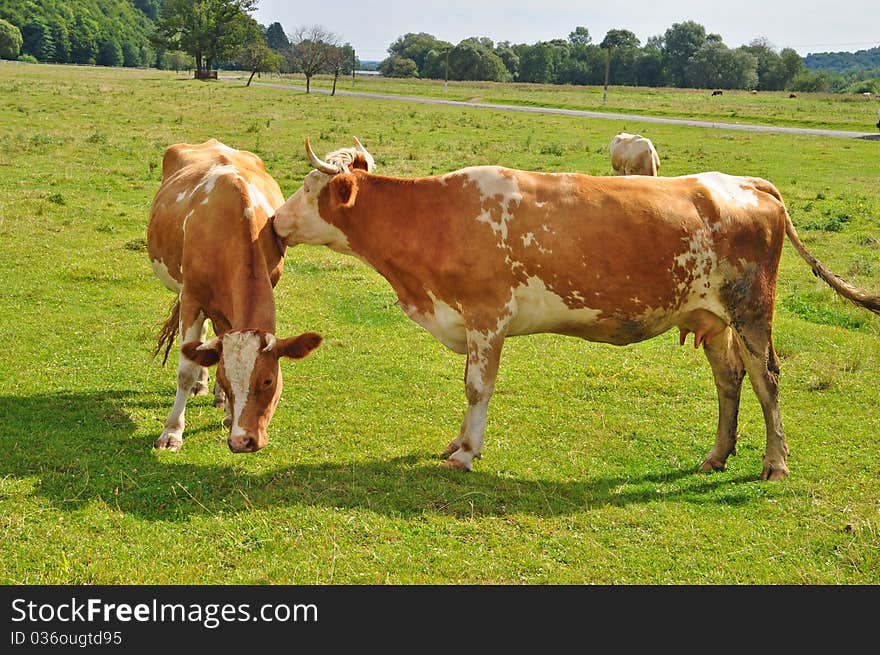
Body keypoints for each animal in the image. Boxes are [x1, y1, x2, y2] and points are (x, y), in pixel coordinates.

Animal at [146, 141, 322, 454]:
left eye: (268, 380)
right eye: (227, 380)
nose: (242, 441)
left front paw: (226, 409)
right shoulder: (192, 299)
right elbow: (186, 368)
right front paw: (172, 431)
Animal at [270, 136, 880, 480]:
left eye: (310, 188)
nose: (274, 221)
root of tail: (745, 183)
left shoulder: (487, 317)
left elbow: (477, 387)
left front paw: (465, 454)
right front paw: (456, 443)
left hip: (752, 310)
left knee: (766, 379)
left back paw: (774, 463)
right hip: (712, 319)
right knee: (729, 380)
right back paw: (716, 455)